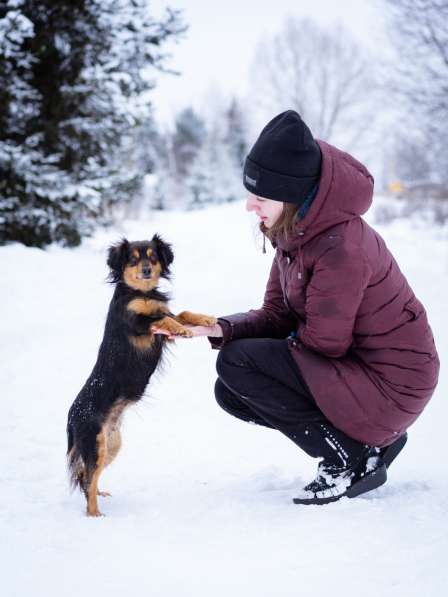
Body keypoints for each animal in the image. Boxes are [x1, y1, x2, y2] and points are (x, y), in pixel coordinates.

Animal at [67, 235, 219, 516]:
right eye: (133, 260)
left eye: (153, 257)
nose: (147, 270)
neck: (142, 292)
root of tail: (71, 418)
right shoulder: (136, 323)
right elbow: (158, 319)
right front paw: (181, 328)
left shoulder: (163, 320)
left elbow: (179, 312)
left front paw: (202, 318)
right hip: (95, 444)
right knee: (88, 478)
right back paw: (94, 514)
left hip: (111, 444)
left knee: (87, 477)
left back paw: (98, 495)